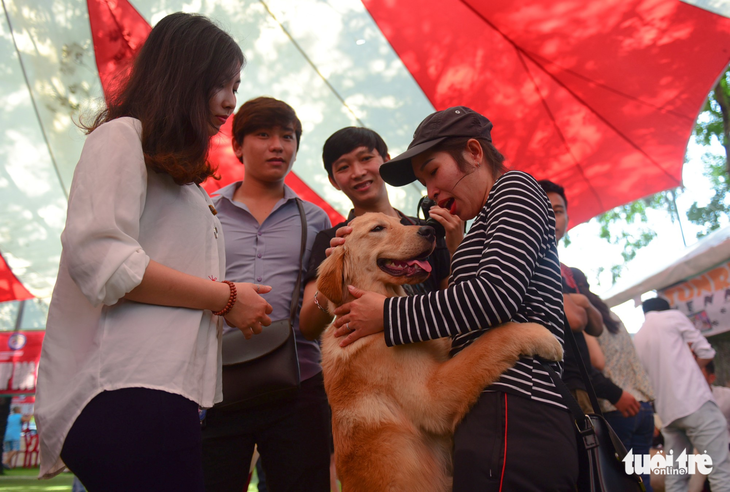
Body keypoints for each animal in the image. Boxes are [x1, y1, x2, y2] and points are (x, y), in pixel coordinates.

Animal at [316, 213, 560, 492]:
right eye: (377, 228)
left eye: (399, 222)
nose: (429, 231)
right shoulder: (431, 398)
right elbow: (490, 342)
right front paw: (541, 336)